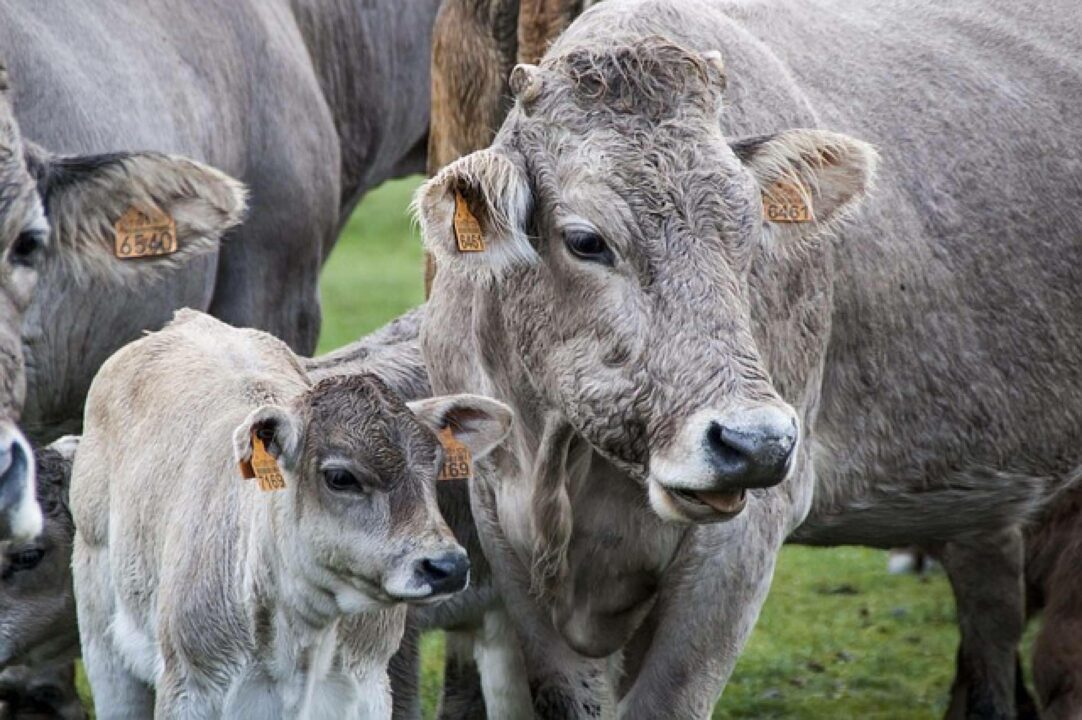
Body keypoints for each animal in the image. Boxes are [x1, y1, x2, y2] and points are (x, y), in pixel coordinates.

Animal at [69, 309, 512, 718]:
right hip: (102, 641)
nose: (447, 566)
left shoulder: (369, 687)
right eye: (340, 477)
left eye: (434, 466)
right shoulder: (189, 689)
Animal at [413, 1, 1082, 718]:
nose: (755, 442)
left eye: (750, 228)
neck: (564, 460)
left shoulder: (741, 541)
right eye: (587, 241)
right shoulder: (500, 523)